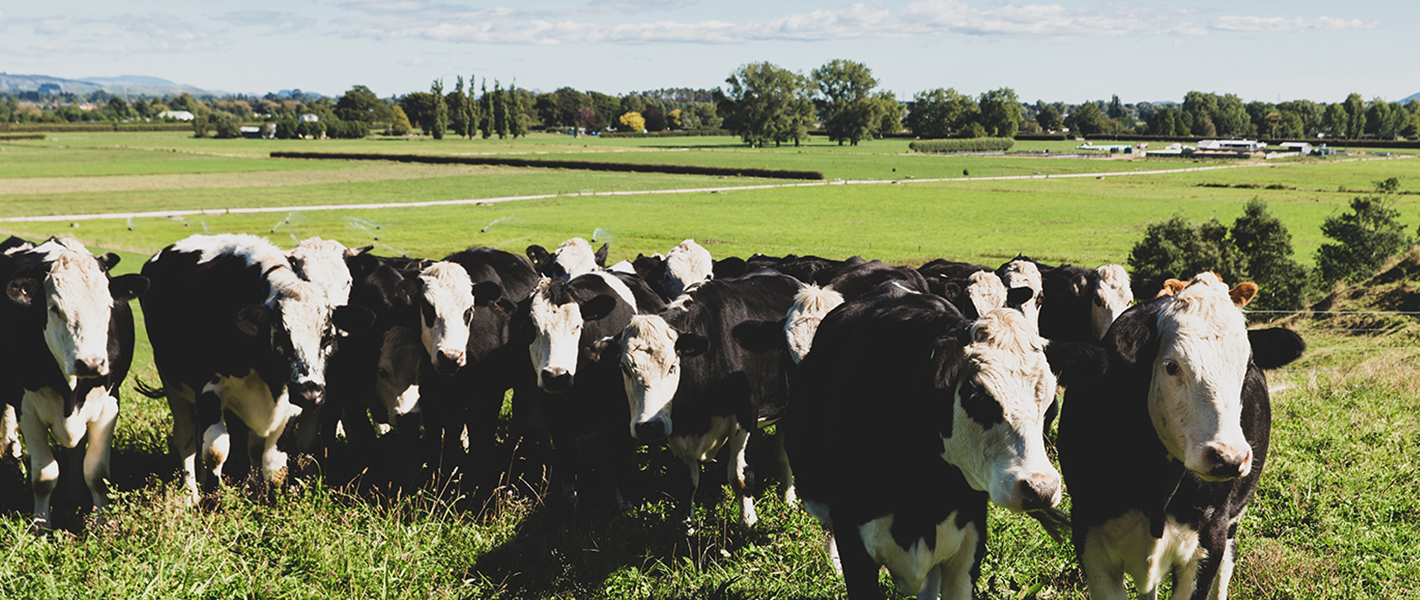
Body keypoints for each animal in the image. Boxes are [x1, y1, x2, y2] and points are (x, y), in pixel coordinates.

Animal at [0, 236, 146, 527]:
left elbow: (96, 472)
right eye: (54, 309)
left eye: (108, 307)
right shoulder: (27, 408)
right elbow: (44, 476)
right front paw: (41, 525)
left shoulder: (109, 404)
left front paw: (101, 521)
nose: (90, 363)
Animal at [137, 235, 372, 499]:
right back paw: (191, 494)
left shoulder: (289, 401)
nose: (310, 393)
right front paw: (213, 499)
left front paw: (272, 499)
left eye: (327, 338)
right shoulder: (209, 391)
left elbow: (274, 462)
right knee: (187, 439)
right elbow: (215, 450)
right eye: (280, 338)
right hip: (172, 385)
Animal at [613, 269, 806, 527]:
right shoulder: (677, 428)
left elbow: (741, 477)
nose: (649, 427)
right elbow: (687, 482)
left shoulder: (746, 417)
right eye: (624, 368)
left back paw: (789, 499)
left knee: (785, 455)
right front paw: (686, 526)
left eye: (673, 366)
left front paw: (748, 522)